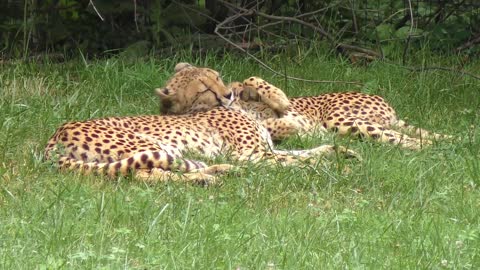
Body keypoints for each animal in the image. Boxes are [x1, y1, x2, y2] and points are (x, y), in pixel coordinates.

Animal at [45, 63, 358, 184]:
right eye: (205, 89)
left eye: (217, 76)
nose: (228, 94)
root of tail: (54, 137)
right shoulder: (251, 155)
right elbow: (299, 161)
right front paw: (334, 168)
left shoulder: (265, 150)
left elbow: (308, 151)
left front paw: (342, 153)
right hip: (150, 145)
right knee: (144, 173)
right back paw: (206, 178)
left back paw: (219, 171)